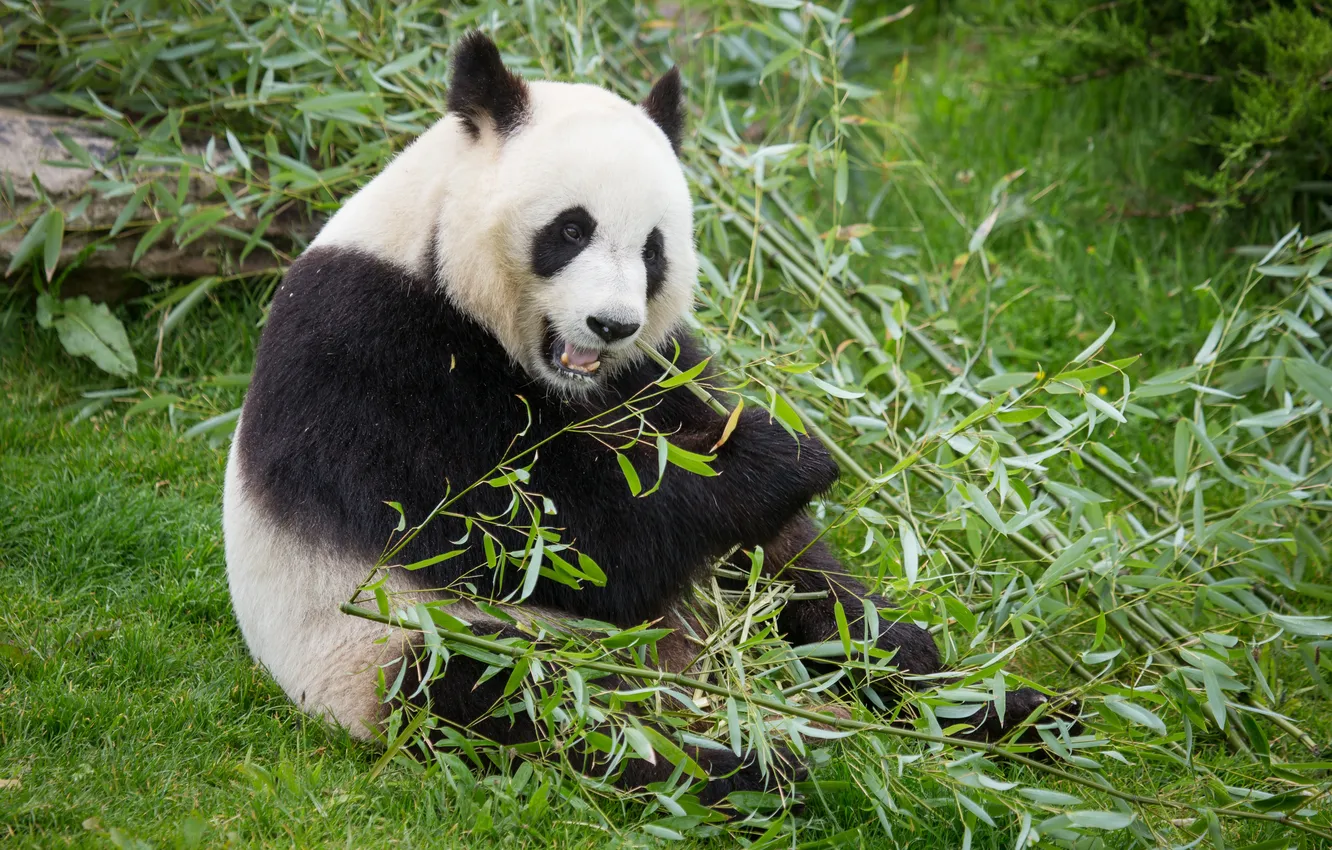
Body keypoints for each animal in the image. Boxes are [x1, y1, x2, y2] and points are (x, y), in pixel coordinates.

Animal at [223, 33, 1065, 804]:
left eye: (655, 250)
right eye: (570, 230)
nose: (612, 324)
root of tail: (686, 677)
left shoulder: (655, 372)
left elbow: (768, 538)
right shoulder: (374, 361)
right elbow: (552, 538)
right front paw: (787, 453)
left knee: (812, 609)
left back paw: (1008, 714)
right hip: (387, 645)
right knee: (517, 699)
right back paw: (747, 773)